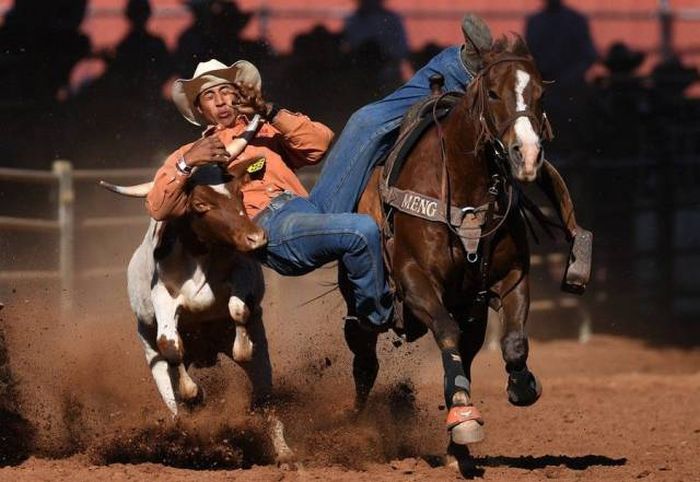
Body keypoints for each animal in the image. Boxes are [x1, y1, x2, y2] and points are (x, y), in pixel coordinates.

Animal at [344, 36, 552, 452]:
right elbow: (445, 331)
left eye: (539, 93)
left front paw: (522, 385)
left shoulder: (512, 277)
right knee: (365, 359)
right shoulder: (414, 280)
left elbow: (514, 342)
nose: (527, 155)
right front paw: (463, 414)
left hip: (471, 306)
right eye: (492, 93)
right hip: (361, 306)